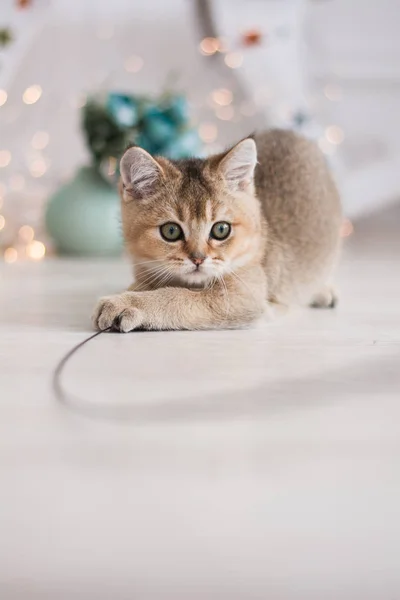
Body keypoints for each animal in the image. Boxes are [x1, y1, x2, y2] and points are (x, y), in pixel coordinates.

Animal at [93, 129, 340, 332]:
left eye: (221, 229)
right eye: (171, 231)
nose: (198, 259)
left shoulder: (244, 297)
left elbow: (178, 296)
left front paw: (128, 303)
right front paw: (132, 292)